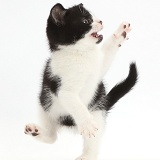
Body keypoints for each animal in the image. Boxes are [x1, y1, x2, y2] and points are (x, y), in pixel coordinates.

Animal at [24, 3, 138, 160]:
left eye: (93, 17)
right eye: (85, 21)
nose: (100, 21)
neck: (81, 54)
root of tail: (68, 123)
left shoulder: (98, 69)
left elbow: (108, 52)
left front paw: (121, 33)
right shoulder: (65, 90)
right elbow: (77, 106)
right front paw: (87, 123)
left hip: (97, 111)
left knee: (91, 145)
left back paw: (86, 155)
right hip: (44, 106)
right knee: (52, 136)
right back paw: (36, 131)